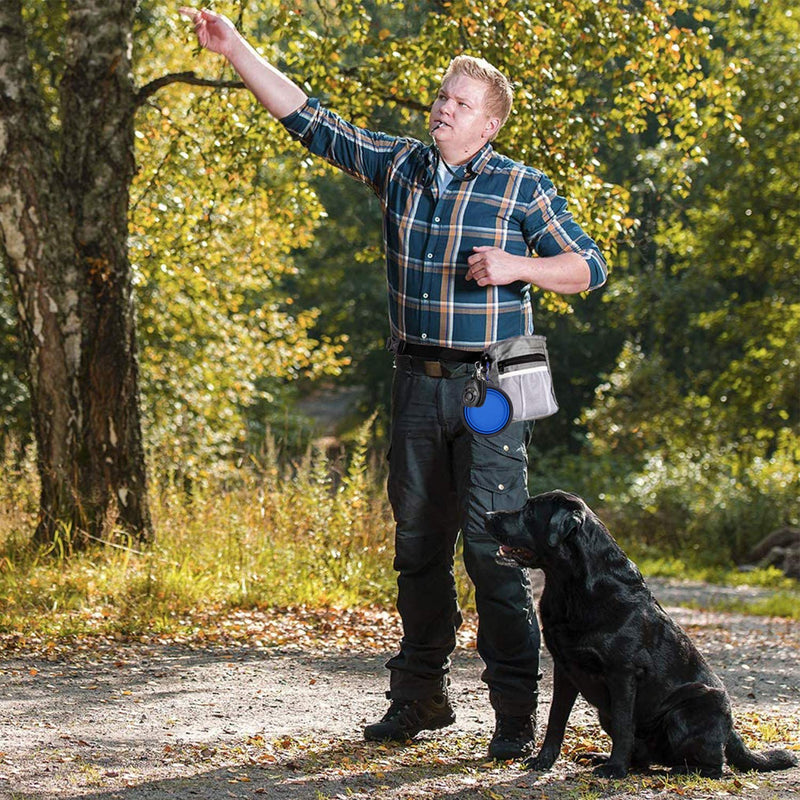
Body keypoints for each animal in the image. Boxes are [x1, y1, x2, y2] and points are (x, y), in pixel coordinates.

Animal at [484, 490, 796, 780]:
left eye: (529, 511)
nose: (487, 515)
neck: (570, 587)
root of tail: (731, 731)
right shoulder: (564, 668)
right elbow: (556, 720)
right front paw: (543, 761)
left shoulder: (622, 673)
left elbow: (624, 725)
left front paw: (615, 769)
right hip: (608, 712)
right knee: (647, 757)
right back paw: (602, 757)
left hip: (690, 709)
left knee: (716, 767)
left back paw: (672, 770)